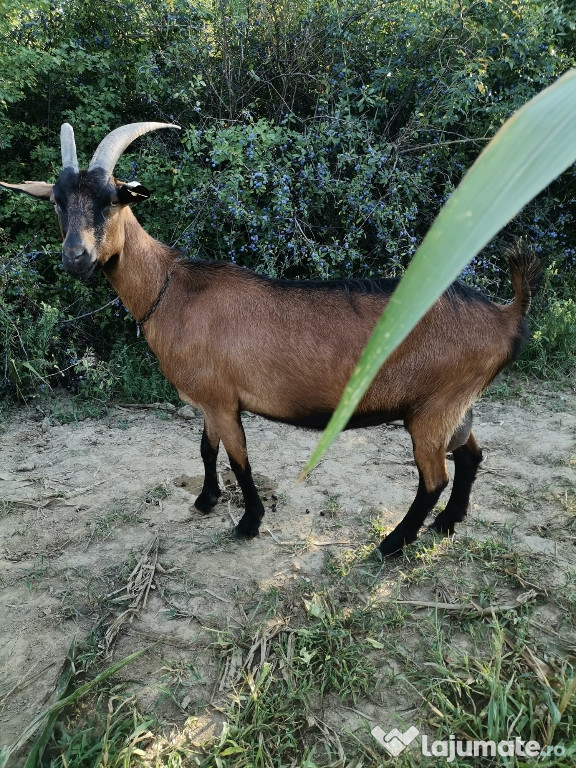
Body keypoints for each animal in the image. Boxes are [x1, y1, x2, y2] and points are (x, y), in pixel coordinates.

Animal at [1, 124, 540, 560]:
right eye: (56, 201)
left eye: (112, 199)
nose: (75, 257)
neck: (172, 290)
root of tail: (506, 315)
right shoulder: (210, 400)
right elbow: (207, 450)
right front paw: (205, 500)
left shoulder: (222, 400)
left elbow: (239, 460)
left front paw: (248, 522)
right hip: (454, 403)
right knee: (470, 456)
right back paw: (449, 523)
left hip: (432, 409)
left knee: (434, 479)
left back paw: (390, 545)